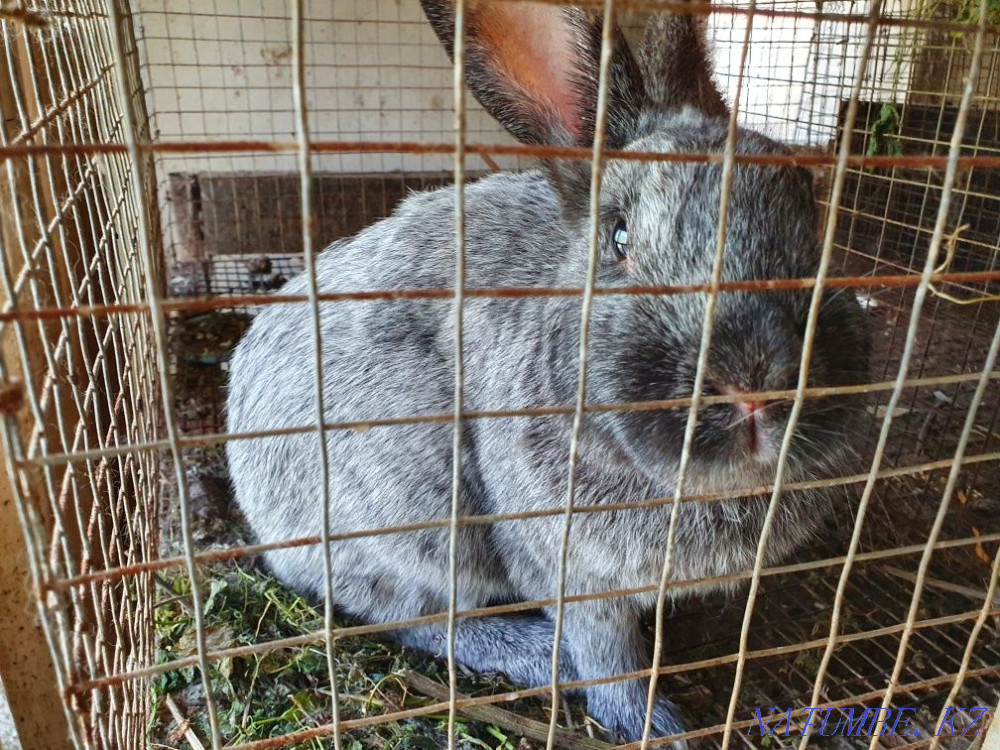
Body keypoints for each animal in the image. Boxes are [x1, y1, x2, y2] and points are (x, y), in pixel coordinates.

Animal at [226, 1, 871, 744]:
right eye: (618, 239)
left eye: (809, 207)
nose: (755, 381)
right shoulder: (569, 570)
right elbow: (608, 657)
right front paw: (651, 721)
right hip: (412, 518)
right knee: (413, 618)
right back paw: (533, 652)